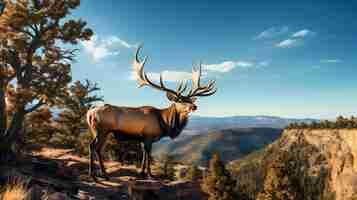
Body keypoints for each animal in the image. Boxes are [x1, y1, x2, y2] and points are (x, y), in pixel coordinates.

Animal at [85, 47, 217, 181]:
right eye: (180, 100)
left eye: (190, 100)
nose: (194, 106)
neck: (165, 123)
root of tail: (89, 113)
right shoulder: (148, 135)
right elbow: (149, 154)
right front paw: (150, 174)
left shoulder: (143, 139)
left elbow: (144, 154)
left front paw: (142, 173)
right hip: (102, 130)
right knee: (96, 147)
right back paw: (100, 175)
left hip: (95, 131)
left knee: (92, 146)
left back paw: (95, 174)